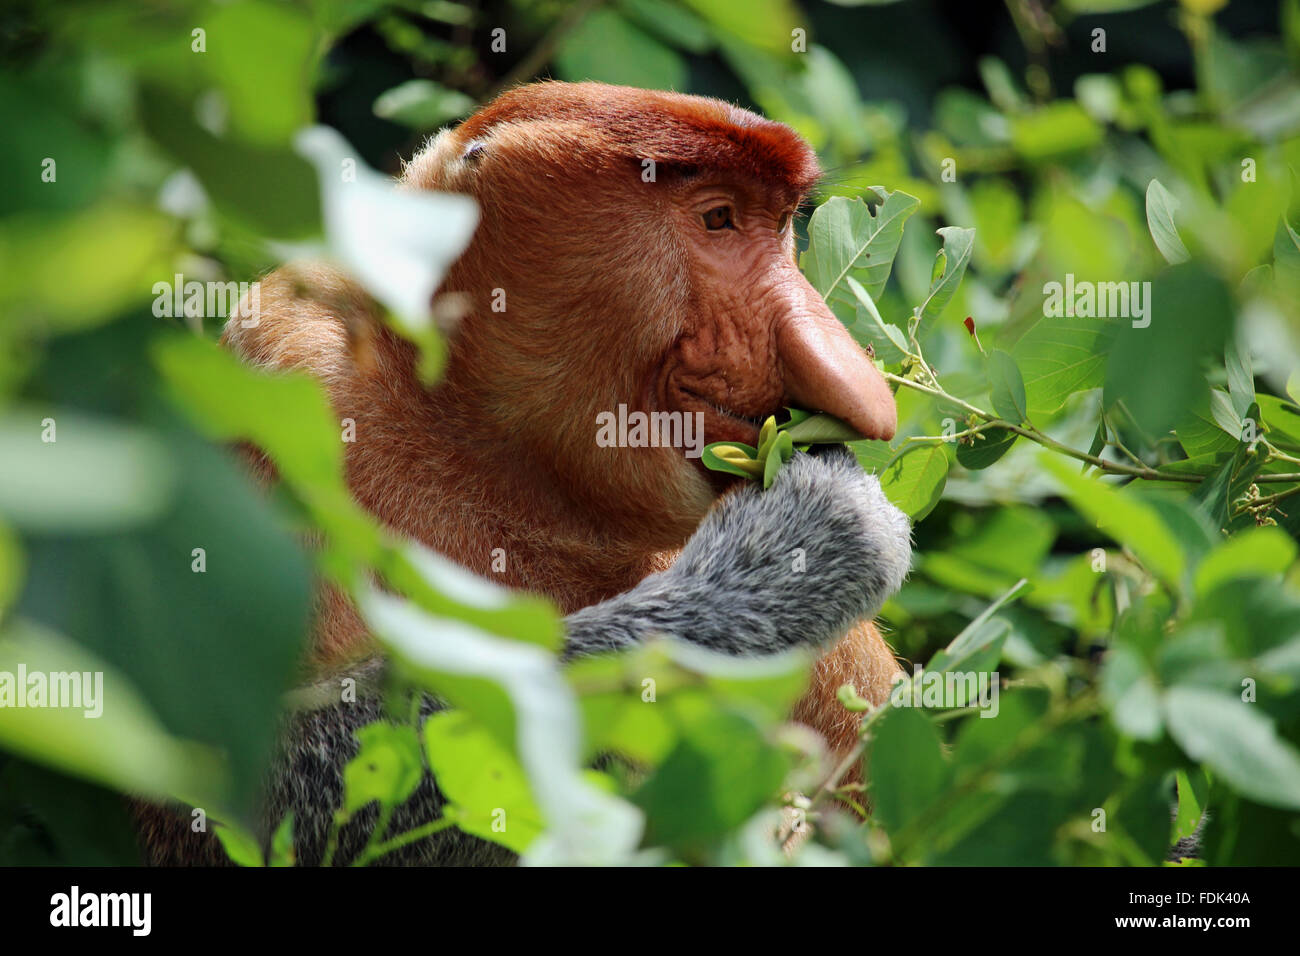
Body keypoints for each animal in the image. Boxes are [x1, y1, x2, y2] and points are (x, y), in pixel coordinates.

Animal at [137, 82, 909, 868]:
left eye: (778, 226)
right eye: (718, 219)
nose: (861, 390)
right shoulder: (290, 360)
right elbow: (244, 786)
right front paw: (798, 553)